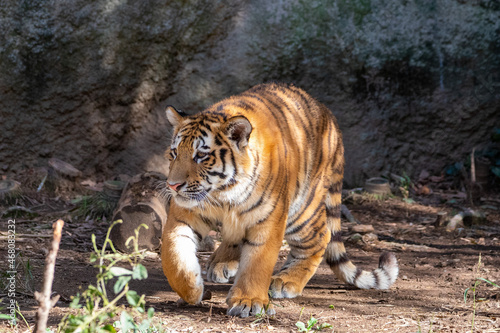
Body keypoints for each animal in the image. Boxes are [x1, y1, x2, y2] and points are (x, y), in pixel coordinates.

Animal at [160, 82, 398, 316]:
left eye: (201, 156)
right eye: (174, 153)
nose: (173, 185)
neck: (224, 194)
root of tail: (329, 116)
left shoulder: (269, 219)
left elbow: (258, 263)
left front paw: (248, 301)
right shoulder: (183, 215)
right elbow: (174, 257)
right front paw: (192, 290)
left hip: (302, 211)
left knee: (322, 236)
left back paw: (287, 281)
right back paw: (221, 263)